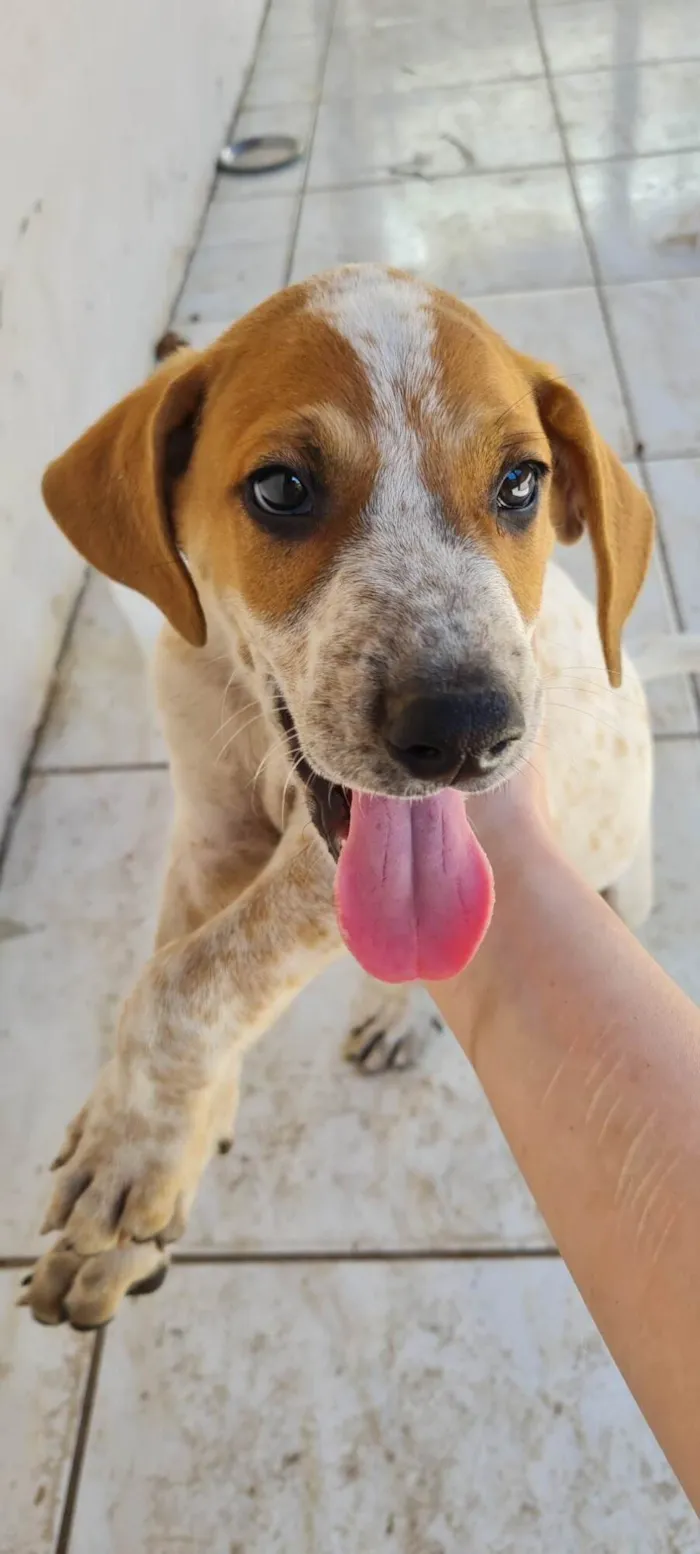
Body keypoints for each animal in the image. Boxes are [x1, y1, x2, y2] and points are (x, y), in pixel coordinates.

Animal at [19, 264, 659, 1324]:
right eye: (281, 487)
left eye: (520, 484)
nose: (467, 729)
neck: (246, 714)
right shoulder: (209, 828)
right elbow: (180, 968)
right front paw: (145, 1175)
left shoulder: (318, 877)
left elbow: (181, 984)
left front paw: (128, 1160)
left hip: (620, 883)